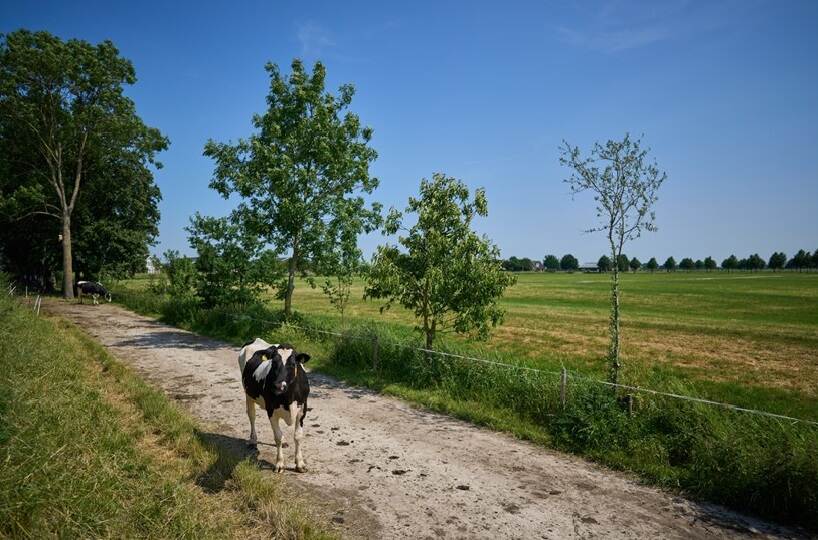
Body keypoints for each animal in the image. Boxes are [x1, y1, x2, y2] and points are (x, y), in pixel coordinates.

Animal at [239, 338, 312, 472]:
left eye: (293, 364)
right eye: (273, 363)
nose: (278, 386)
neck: (288, 398)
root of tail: (256, 339)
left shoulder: (302, 410)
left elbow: (298, 436)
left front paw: (300, 463)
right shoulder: (271, 410)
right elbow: (277, 436)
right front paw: (279, 463)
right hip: (248, 394)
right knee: (252, 416)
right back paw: (253, 440)